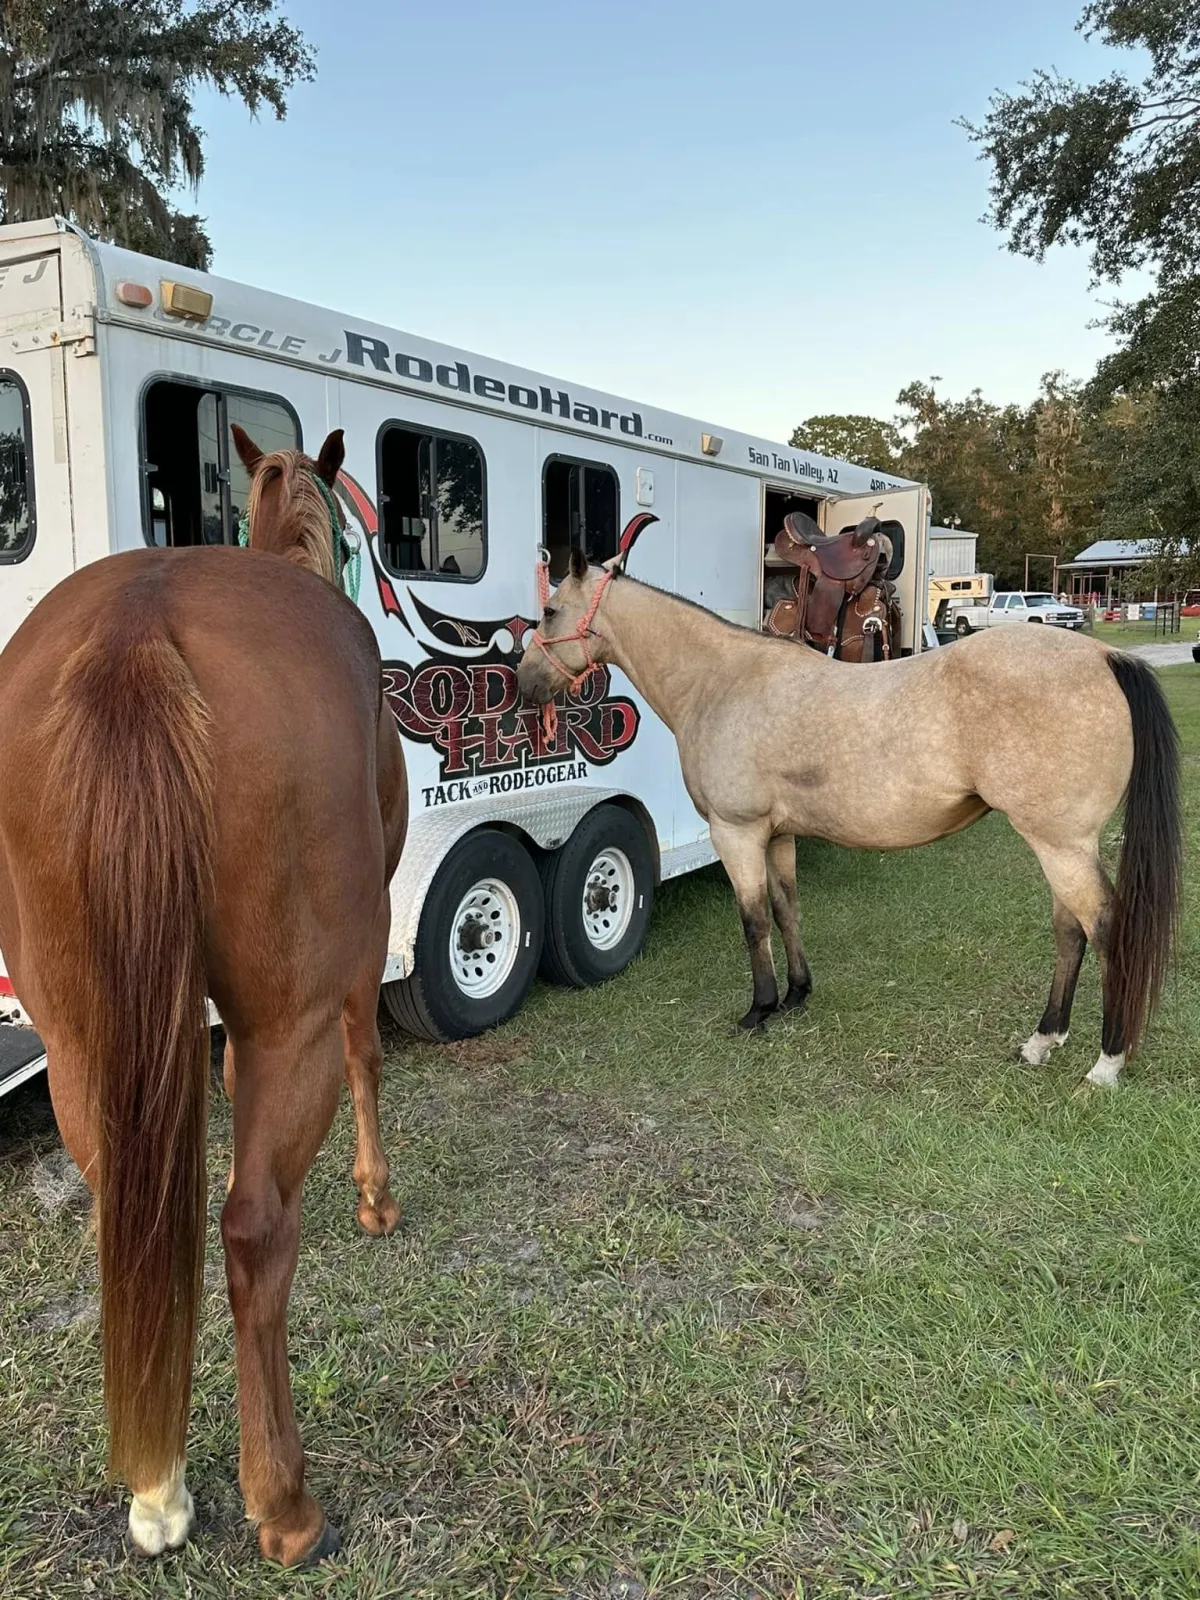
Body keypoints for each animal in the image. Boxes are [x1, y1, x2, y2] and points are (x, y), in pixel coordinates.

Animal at [0, 425, 409, 1561]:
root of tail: (135, 632)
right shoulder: (353, 962)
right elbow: (368, 1051)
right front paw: (376, 1197)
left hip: (83, 1039)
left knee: (137, 1218)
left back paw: (158, 1490)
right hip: (285, 1021)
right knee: (252, 1230)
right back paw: (285, 1504)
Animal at [518, 547, 1184, 1088]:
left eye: (549, 611)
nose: (525, 684)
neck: (722, 680)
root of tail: (1104, 657)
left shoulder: (737, 832)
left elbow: (753, 921)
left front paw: (758, 1010)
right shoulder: (778, 836)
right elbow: (786, 909)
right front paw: (795, 995)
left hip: (1060, 844)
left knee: (1103, 929)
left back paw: (1106, 1063)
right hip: (1062, 845)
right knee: (1069, 932)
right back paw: (1043, 1041)